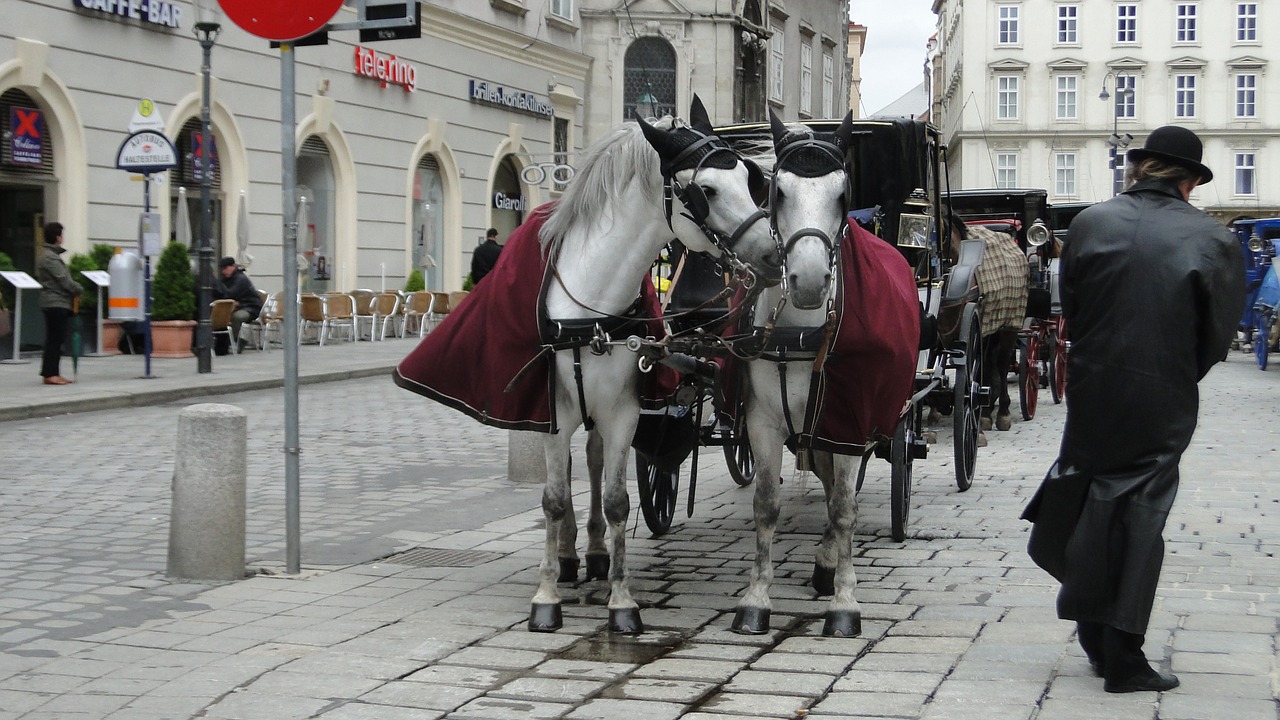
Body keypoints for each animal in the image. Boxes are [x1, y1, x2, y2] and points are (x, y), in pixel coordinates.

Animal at [532, 98, 778, 630]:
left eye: (747, 177)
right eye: (706, 190)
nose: (772, 255)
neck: (590, 311)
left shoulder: (623, 411)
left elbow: (616, 500)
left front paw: (621, 601)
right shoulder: (554, 413)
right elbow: (554, 498)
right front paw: (546, 598)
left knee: (594, 460)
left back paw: (594, 555)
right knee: (572, 468)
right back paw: (567, 559)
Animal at [727, 110, 865, 632]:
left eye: (843, 193)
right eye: (778, 191)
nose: (807, 281)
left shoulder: (850, 421)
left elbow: (844, 508)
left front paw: (844, 602)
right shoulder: (762, 422)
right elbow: (766, 504)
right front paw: (756, 598)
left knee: (839, 495)